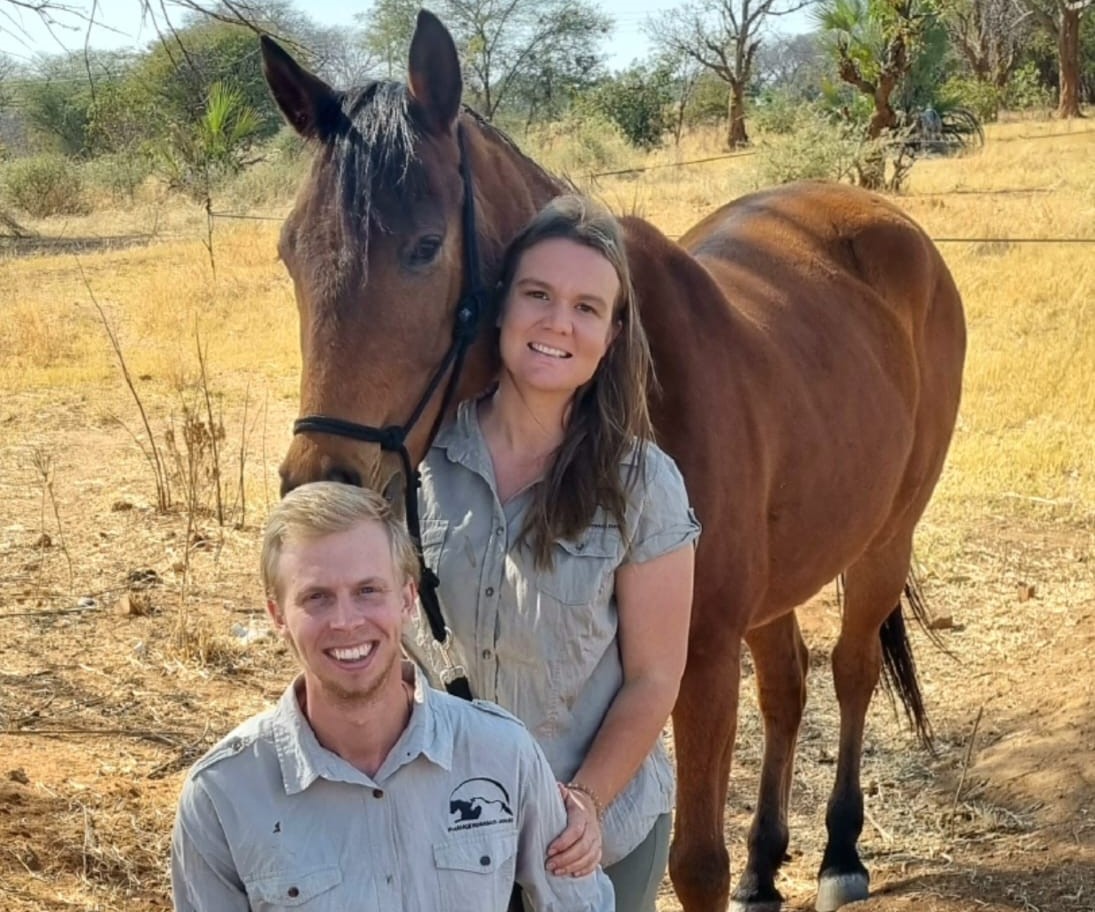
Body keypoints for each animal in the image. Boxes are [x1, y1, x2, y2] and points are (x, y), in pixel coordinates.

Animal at [260, 10, 963, 906]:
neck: (637, 387)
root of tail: (883, 220)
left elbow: (694, 861)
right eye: (291, 254)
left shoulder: (697, 661)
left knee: (850, 669)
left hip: (884, 540)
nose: (321, 482)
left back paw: (839, 849)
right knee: (787, 685)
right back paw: (766, 864)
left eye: (424, 246)